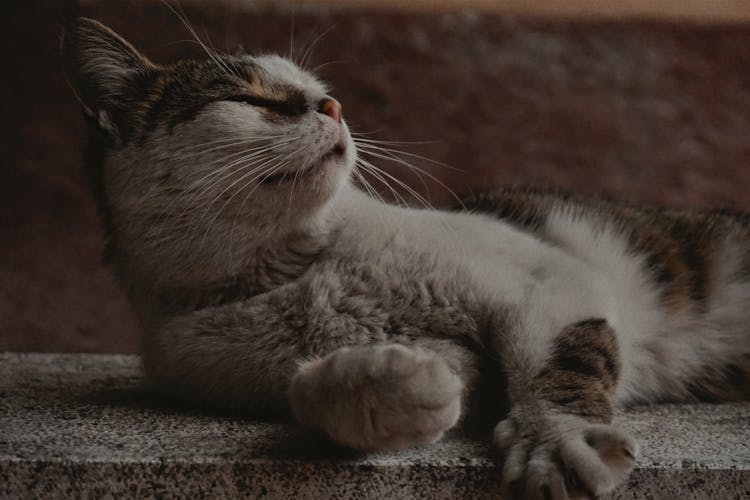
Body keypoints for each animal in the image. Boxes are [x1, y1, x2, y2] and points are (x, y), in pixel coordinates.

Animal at [63, 16, 750, 500]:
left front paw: (557, 441)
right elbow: (315, 391)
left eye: (321, 93)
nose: (334, 107)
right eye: (253, 98)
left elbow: (554, 366)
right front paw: (401, 384)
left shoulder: (550, 278)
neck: (297, 270)